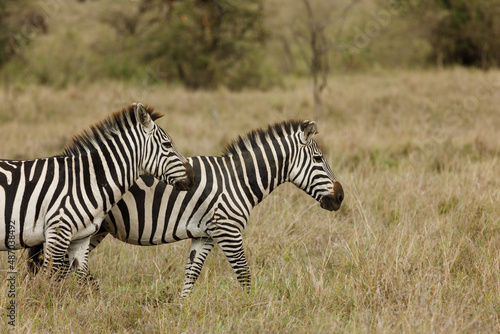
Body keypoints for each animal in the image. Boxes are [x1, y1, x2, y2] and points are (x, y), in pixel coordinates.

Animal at [1, 102, 193, 280]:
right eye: (167, 144)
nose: (193, 177)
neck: (87, 180)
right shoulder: (58, 231)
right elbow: (51, 279)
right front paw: (47, 295)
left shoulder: (81, 238)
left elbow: (80, 276)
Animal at [30, 119, 344, 294]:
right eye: (319, 160)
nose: (340, 197)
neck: (237, 181)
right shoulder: (228, 231)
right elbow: (243, 273)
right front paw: (251, 307)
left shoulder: (205, 235)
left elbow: (191, 273)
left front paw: (181, 308)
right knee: (60, 266)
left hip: (93, 229)